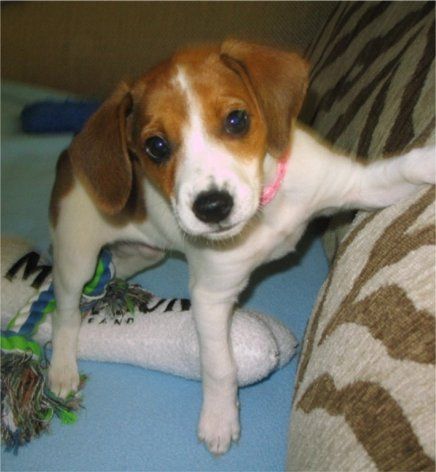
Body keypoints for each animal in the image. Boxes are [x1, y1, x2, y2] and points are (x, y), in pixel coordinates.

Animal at [48, 41, 436, 458]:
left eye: (236, 120)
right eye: (155, 146)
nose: (212, 206)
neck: (266, 210)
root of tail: (68, 157)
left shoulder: (358, 184)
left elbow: (402, 169)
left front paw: (429, 160)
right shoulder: (211, 296)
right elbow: (220, 366)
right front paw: (220, 418)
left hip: (144, 252)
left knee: (117, 267)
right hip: (76, 255)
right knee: (64, 312)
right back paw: (62, 368)